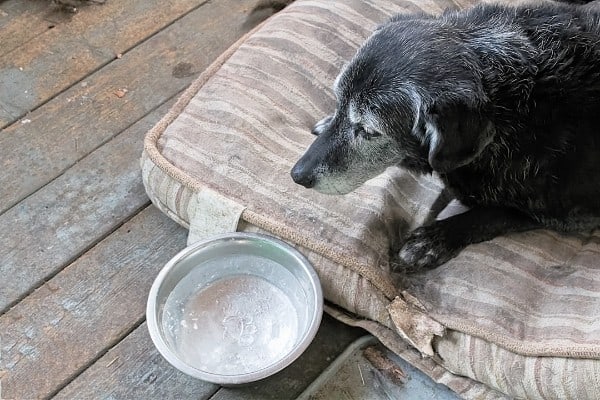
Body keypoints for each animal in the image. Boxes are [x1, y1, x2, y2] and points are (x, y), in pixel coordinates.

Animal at [290, 0, 600, 270]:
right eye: (338, 102)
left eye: (368, 131)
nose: (297, 176)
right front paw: (326, 121)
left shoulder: (573, 214)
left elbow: (496, 213)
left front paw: (433, 239)